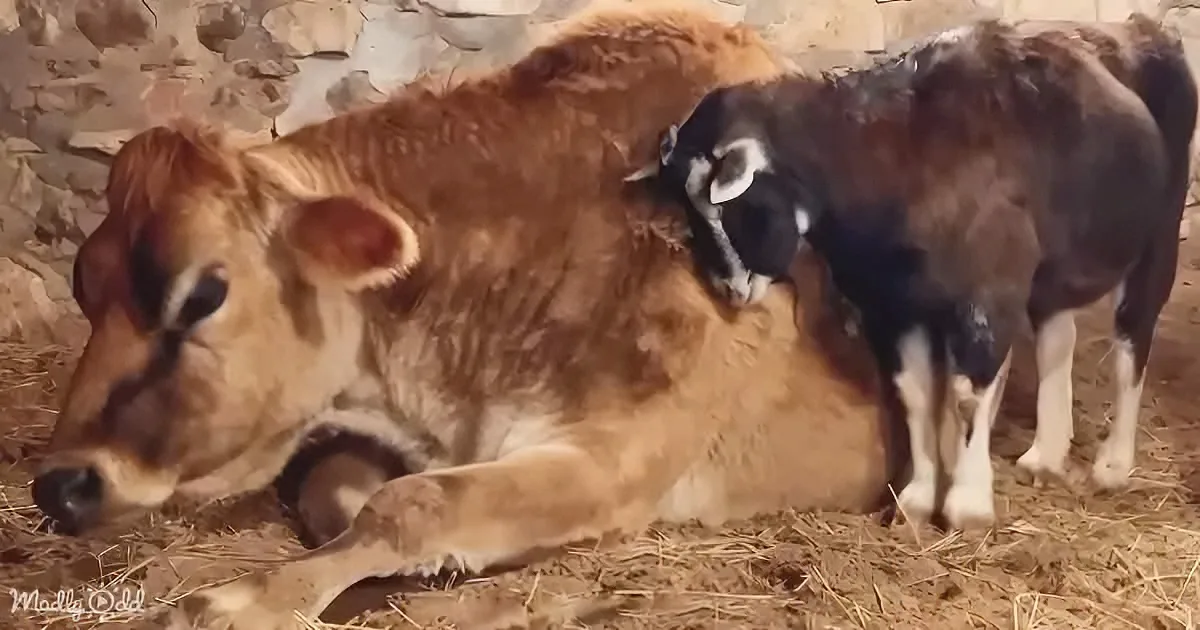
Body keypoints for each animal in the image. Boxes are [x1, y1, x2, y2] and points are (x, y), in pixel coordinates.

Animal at [30, 6, 898, 629]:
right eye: (85, 286)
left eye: (203, 294)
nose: (58, 485)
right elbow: (342, 491)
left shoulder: (625, 451)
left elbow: (416, 501)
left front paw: (235, 602)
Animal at [630, 11, 1197, 531]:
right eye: (686, 214)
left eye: (734, 203)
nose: (729, 287)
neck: (895, 159)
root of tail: (1143, 29)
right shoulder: (895, 306)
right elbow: (916, 394)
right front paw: (918, 500)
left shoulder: (985, 295)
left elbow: (967, 398)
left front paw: (968, 506)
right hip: (1053, 270)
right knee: (1059, 335)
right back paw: (1046, 455)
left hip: (1160, 231)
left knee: (1132, 339)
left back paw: (1112, 464)